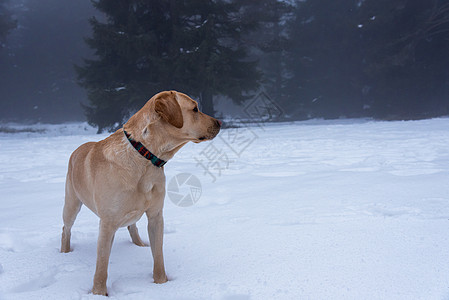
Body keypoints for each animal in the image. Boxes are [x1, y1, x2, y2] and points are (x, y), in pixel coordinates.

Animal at [59, 89, 220, 296]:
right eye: (195, 109)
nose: (219, 123)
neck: (145, 157)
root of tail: (77, 149)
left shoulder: (156, 216)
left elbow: (158, 255)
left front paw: (161, 284)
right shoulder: (108, 223)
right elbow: (101, 266)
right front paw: (99, 293)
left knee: (132, 226)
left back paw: (139, 244)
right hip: (71, 204)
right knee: (66, 229)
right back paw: (65, 253)